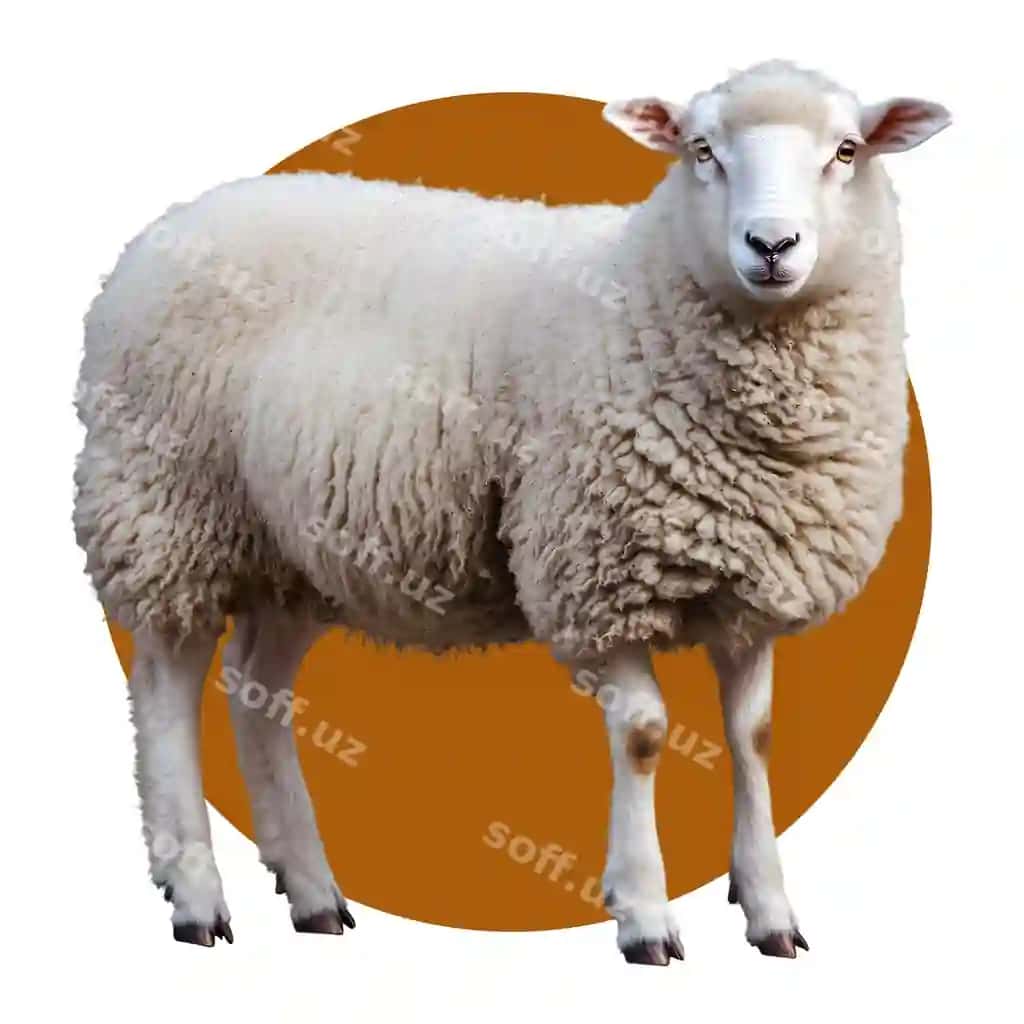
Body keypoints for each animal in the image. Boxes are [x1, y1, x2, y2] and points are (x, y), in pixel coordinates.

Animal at [73, 60, 949, 962]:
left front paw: (770, 909)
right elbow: (643, 735)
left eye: (846, 150)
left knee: (257, 687)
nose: (771, 246)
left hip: (289, 547)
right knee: (167, 684)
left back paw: (311, 889)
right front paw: (644, 913)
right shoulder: (593, 572)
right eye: (702, 149)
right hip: (166, 504)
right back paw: (195, 894)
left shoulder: (751, 582)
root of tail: (168, 227)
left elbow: (755, 739)